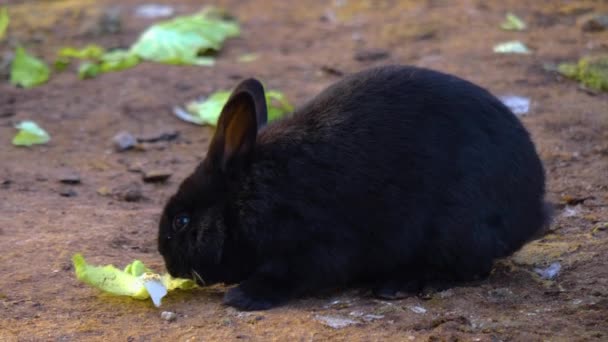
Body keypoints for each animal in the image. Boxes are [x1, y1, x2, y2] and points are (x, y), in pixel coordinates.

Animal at [158, 65, 552, 312]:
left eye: (181, 222)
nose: (168, 263)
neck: (247, 195)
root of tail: (533, 210)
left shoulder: (313, 245)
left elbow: (290, 275)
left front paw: (245, 298)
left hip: (457, 231)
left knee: (469, 268)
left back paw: (399, 285)